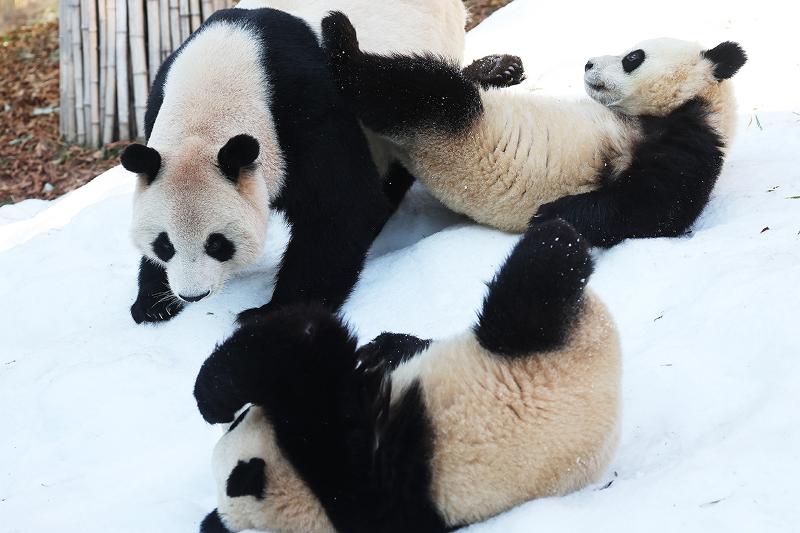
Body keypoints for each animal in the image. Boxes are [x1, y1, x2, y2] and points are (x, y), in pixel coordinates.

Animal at [192, 217, 620, 532]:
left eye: (237, 425)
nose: (230, 421)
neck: (308, 497)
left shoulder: (338, 447)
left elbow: (306, 349)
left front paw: (213, 398)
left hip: (529, 339)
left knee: (538, 276)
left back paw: (553, 230)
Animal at [322, 11, 748, 245]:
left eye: (632, 57)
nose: (588, 63)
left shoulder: (690, 143)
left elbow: (648, 208)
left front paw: (550, 213)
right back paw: (499, 68)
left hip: (447, 129)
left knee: (412, 90)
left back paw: (340, 39)